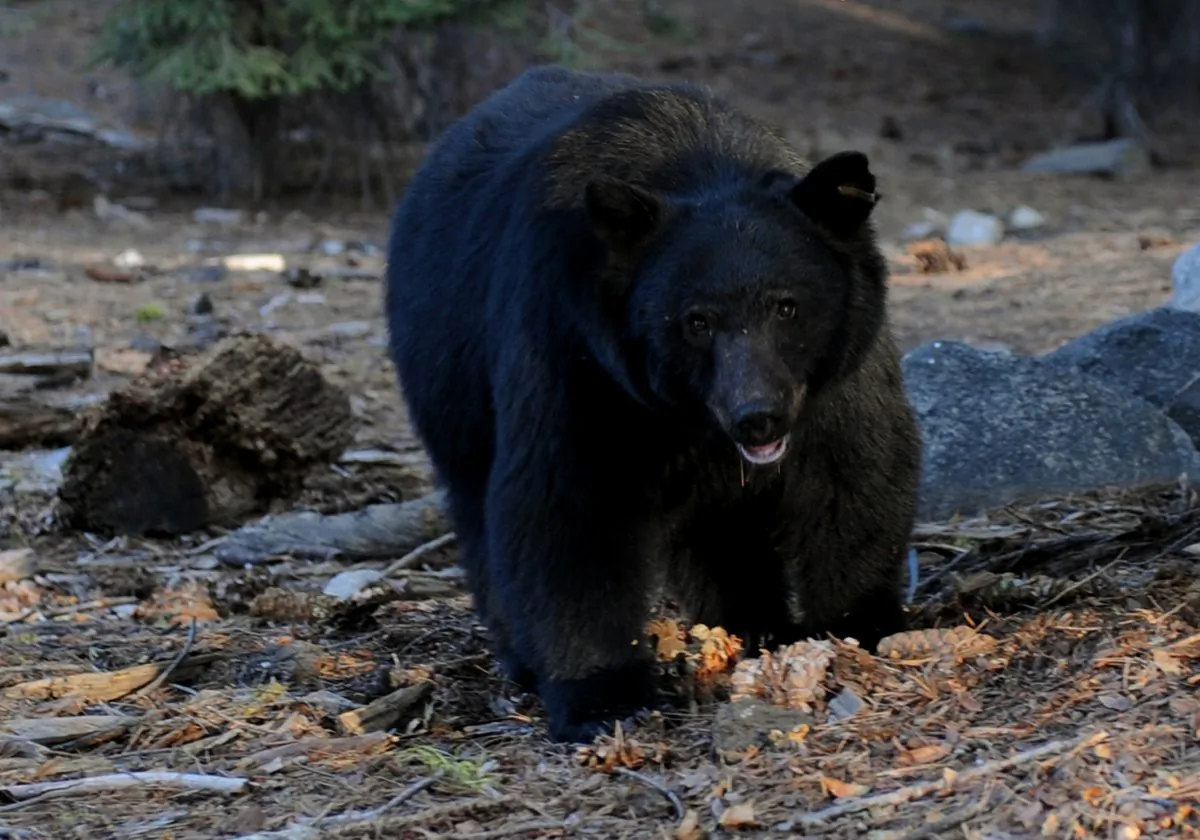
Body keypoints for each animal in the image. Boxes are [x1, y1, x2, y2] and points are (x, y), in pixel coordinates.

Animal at [385, 64, 923, 744]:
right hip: (448, 376)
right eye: (696, 321)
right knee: (479, 509)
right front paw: (603, 696)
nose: (758, 416)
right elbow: (569, 505)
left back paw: (751, 623)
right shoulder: (576, 353)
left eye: (787, 305)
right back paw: (523, 657)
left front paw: (860, 625)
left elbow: (854, 472)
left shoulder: (837, 374)